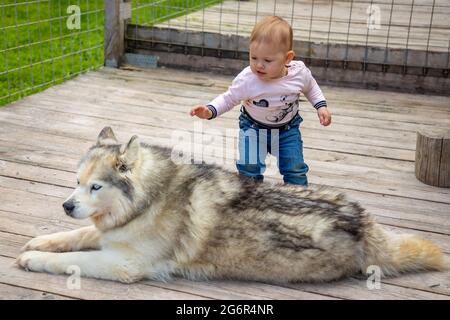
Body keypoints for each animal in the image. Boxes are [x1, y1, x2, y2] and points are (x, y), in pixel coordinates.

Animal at [16, 127, 446, 282]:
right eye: (76, 183)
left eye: (96, 186)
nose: (66, 205)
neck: (149, 199)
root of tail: (367, 223)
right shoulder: (107, 233)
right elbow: (76, 235)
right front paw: (41, 241)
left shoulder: (124, 264)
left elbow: (75, 259)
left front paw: (35, 259)